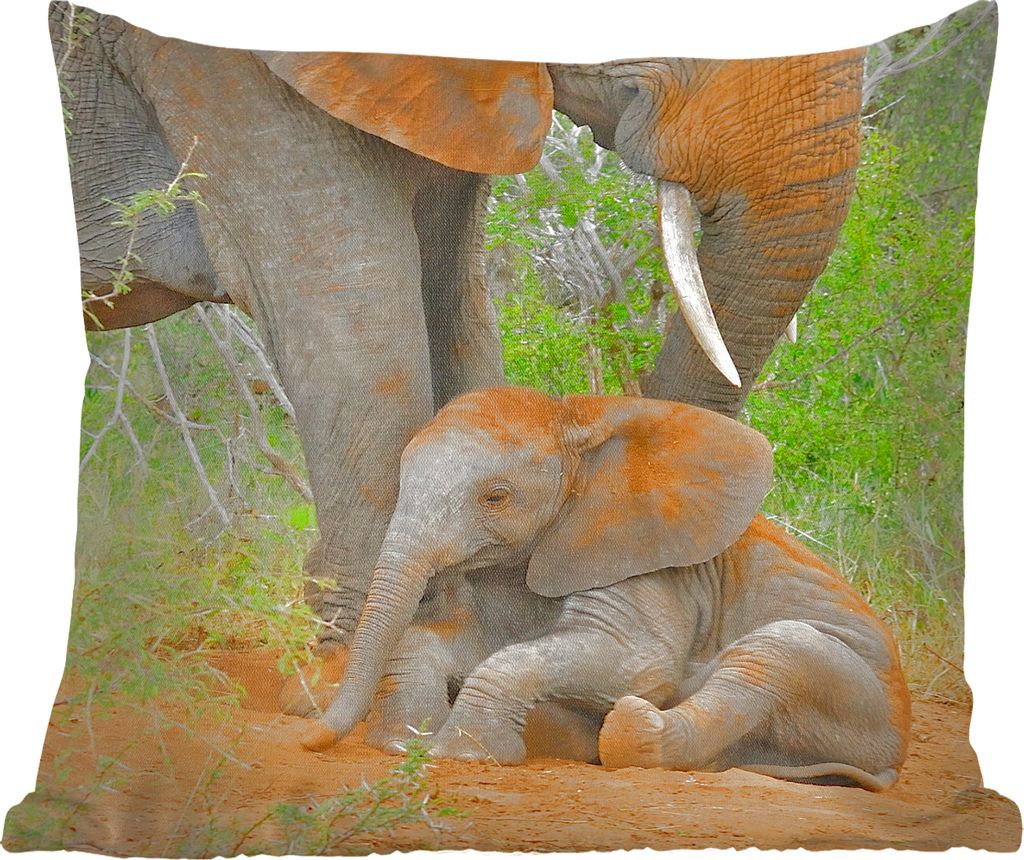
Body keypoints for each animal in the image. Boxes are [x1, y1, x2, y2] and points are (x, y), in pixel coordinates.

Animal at [300, 386, 912, 791]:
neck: (577, 421)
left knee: (774, 652)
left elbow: (639, 663)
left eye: (495, 497)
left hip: (860, 700)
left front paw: (466, 755)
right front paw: (405, 742)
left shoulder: (648, 570)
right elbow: (452, 642)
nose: (308, 742)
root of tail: (893, 758)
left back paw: (629, 729)